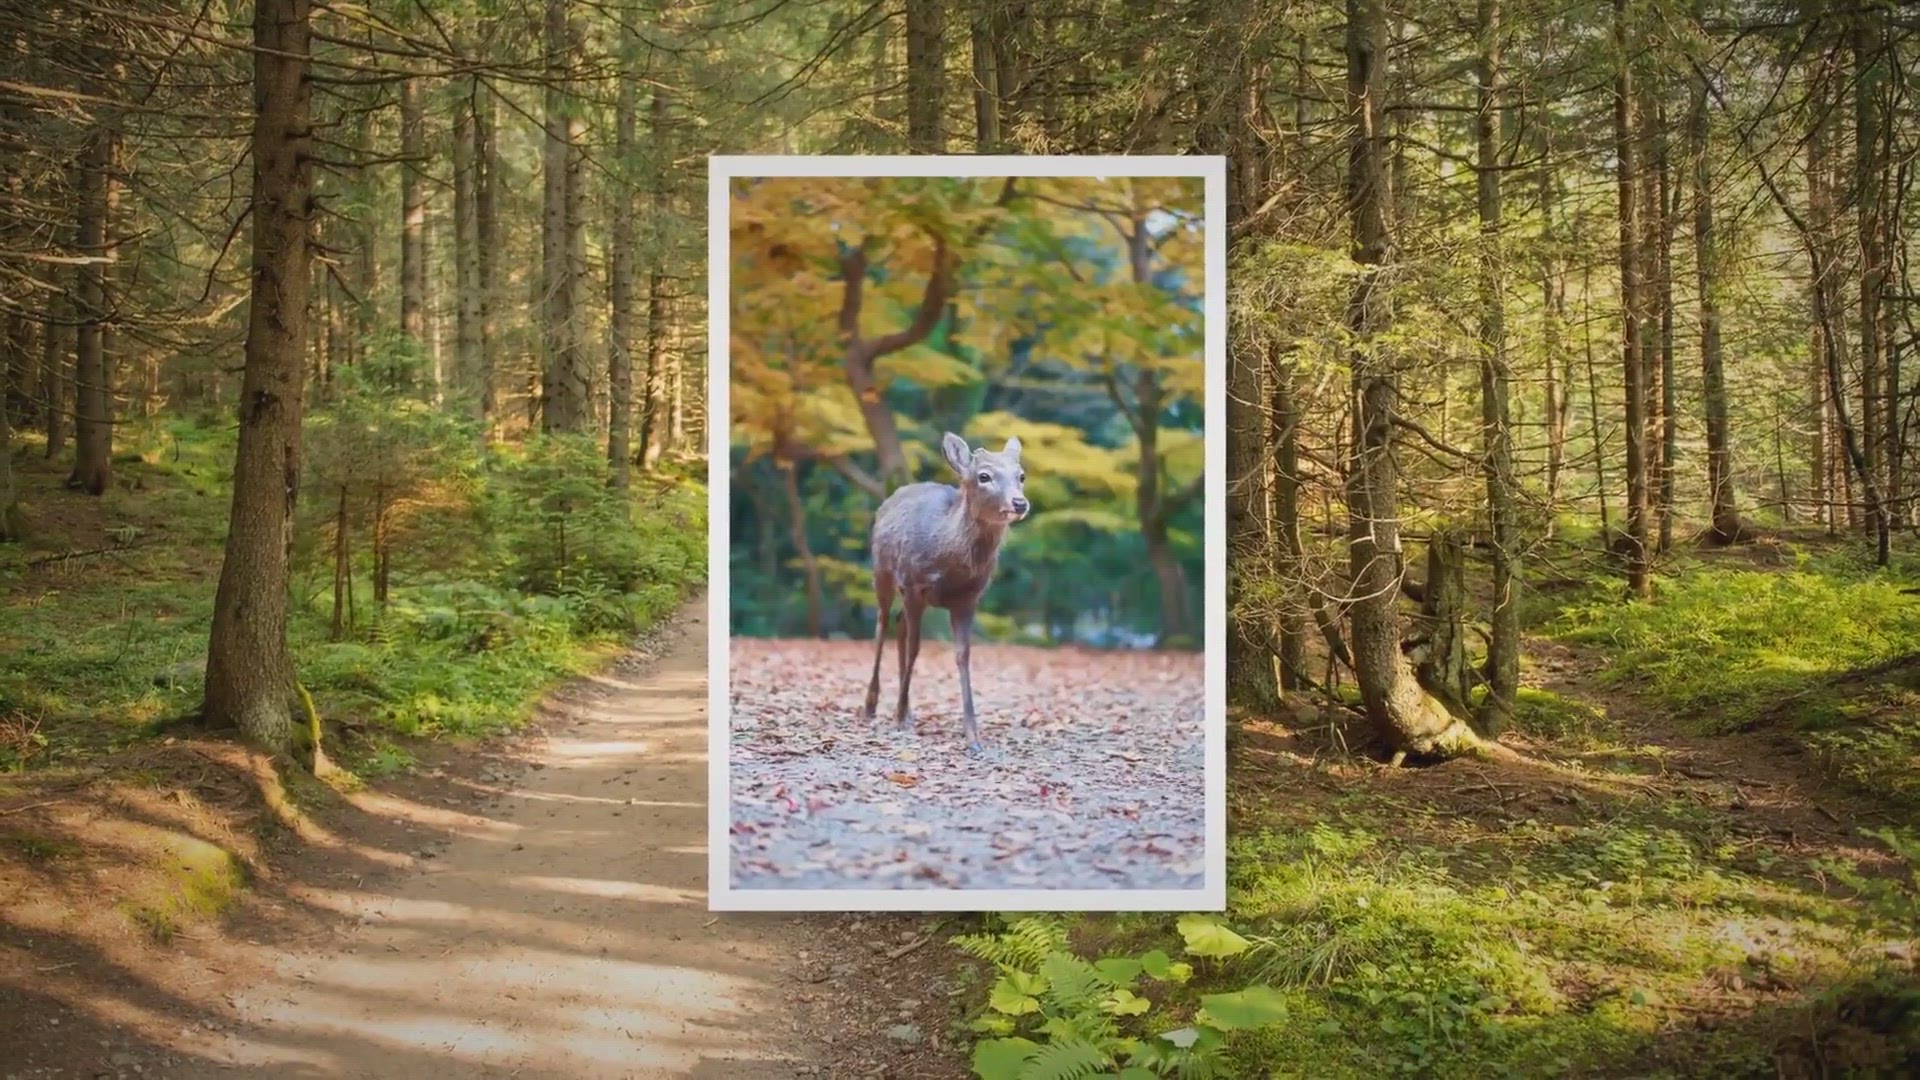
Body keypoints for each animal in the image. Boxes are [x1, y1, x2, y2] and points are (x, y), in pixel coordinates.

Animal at [863, 432, 1029, 756]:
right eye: (984, 476)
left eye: (1021, 476)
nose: (1019, 503)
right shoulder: (913, 584)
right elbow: (915, 648)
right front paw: (897, 718)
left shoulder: (968, 598)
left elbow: (963, 655)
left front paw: (973, 737)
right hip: (882, 571)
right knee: (881, 625)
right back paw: (872, 706)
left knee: (899, 623)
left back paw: (908, 711)